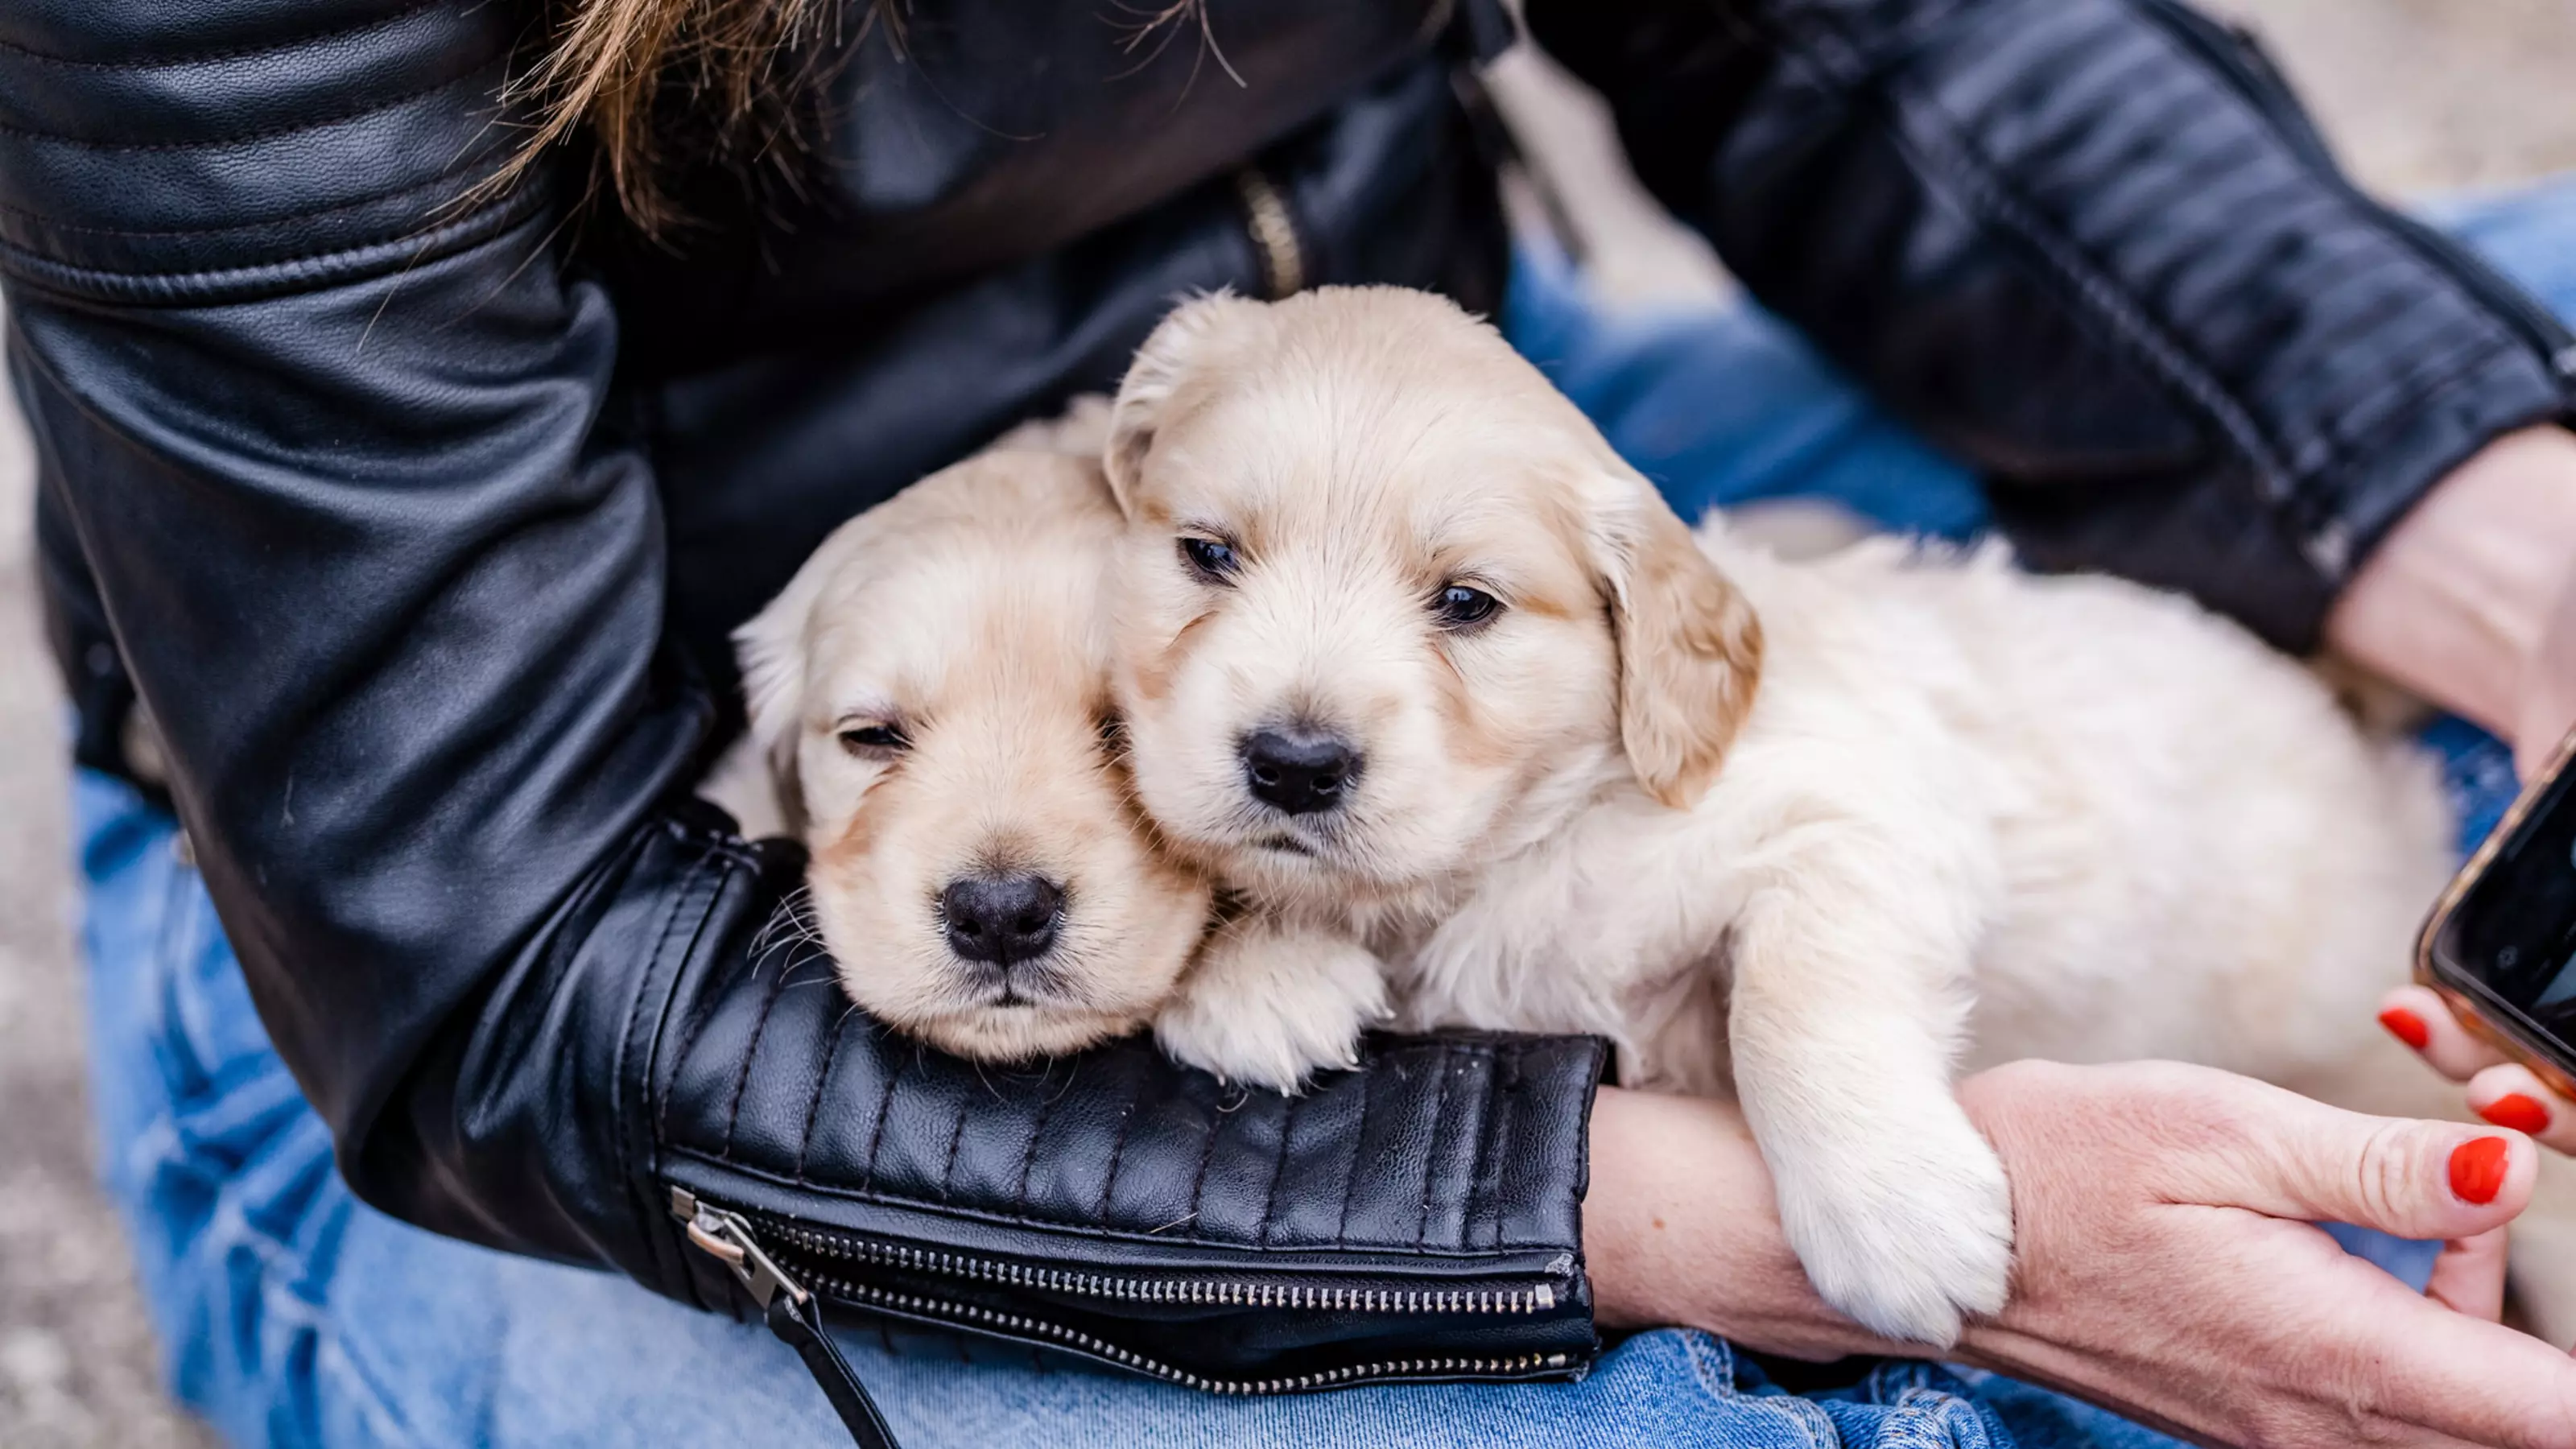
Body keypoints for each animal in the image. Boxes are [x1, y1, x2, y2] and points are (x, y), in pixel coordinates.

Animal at [1097, 287, 2504, 1351]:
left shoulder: (1857, 818)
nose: (1293, 765)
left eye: (1467, 604)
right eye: (1208, 556)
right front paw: (1260, 970)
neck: (1541, 836)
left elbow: (1791, 998)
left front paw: (1895, 1220)